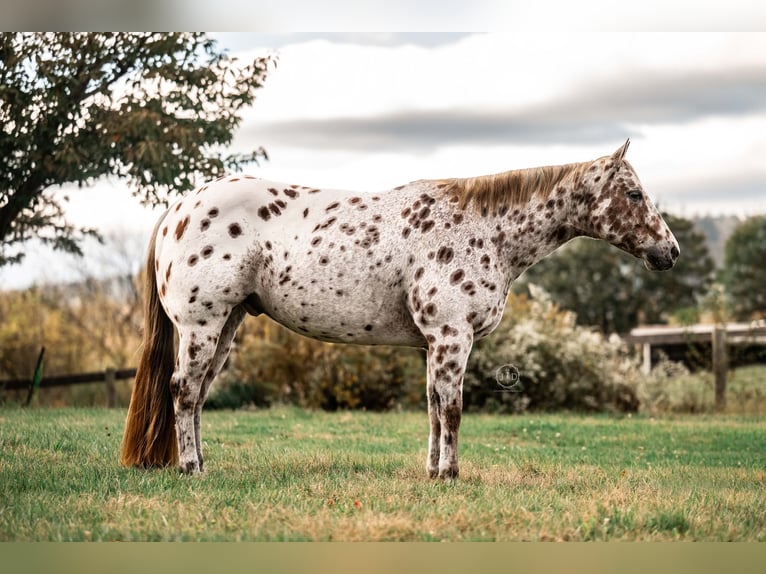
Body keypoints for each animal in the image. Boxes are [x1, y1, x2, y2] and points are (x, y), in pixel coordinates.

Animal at [120, 139, 679, 478]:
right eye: (633, 193)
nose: (669, 252)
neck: (486, 230)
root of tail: (178, 209)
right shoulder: (452, 337)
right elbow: (451, 408)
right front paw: (451, 474)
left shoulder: (434, 343)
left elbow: (432, 407)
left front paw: (433, 473)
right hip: (202, 325)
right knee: (183, 391)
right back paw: (190, 468)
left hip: (227, 325)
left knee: (198, 395)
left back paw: (201, 464)